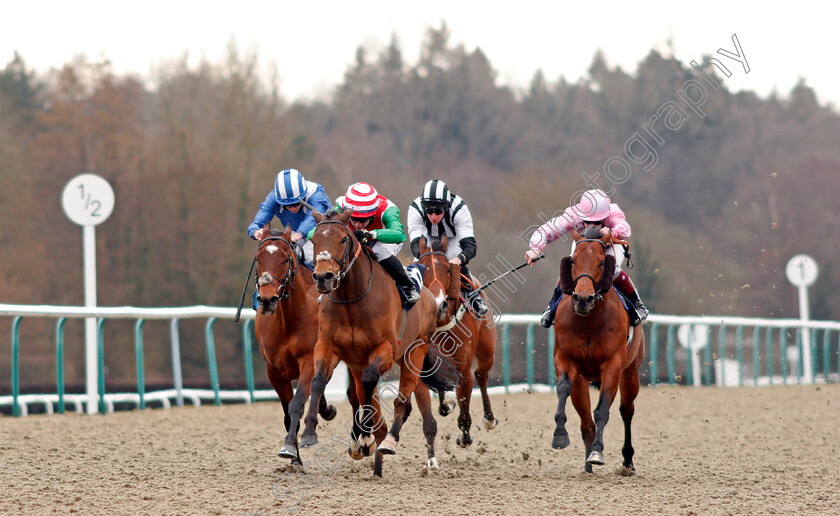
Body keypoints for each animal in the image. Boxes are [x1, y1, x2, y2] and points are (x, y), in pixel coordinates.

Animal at [251, 224, 336, 466]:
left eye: (286, 258)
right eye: (259, 258)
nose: (267, 300)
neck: (289, 320)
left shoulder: (308, 362)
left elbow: (297, 404)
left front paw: (291, 446)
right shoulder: (274, 370)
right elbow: (288, 414)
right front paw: (294, 457)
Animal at [294, 208, 456, 478]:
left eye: (343, 239)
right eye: (314, 240)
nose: (323, 277)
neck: (352, 300)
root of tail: (430, 296)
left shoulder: (385, 350)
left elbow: (371, 381)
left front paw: (368, 437)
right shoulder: (329, 347)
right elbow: (318, 381)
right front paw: (308, 431)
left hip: (414, 351)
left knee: (403, 401)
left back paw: (388, 440)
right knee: (361, 395)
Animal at [416, 235, 496, 448]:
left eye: (447, 269)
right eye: (422, 269)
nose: (439, 305)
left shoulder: (463, 366)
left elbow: (465, 401)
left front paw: (465, 437)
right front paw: (445, 405)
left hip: (487, 349)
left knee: (481, 374)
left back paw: (489, 419)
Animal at [552, 227, 644, 476]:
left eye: (602, 262)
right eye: (573, 260)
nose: (582, 299)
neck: (588, 321)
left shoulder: (612, 365)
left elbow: (602, 409)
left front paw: (597, 453)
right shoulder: (566, 359)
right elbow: (563, 388)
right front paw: (559, 435)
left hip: (631, 373)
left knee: (626, 411)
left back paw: (627, 461)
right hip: (583, 381)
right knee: (586, 423)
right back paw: (586, 466)